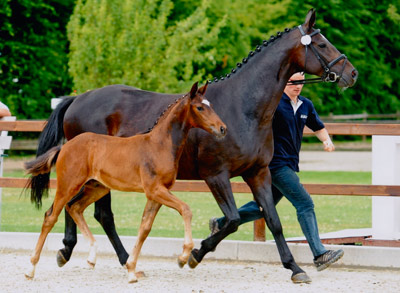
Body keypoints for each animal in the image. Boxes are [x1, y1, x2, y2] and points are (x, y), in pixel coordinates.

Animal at [24, 81, 225, 282]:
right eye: (200, 107)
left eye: (211, 105)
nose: (222, 129)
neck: (159, 145)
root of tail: (64, 146)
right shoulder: (155, 190)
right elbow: (185, 209)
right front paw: (183, 257)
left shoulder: (156, 194)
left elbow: (144, 228)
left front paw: (131, 270)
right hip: (68, 185)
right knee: (51, 217)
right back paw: (31, 268)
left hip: (97, 188)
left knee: (75, 207)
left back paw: (92, 256)